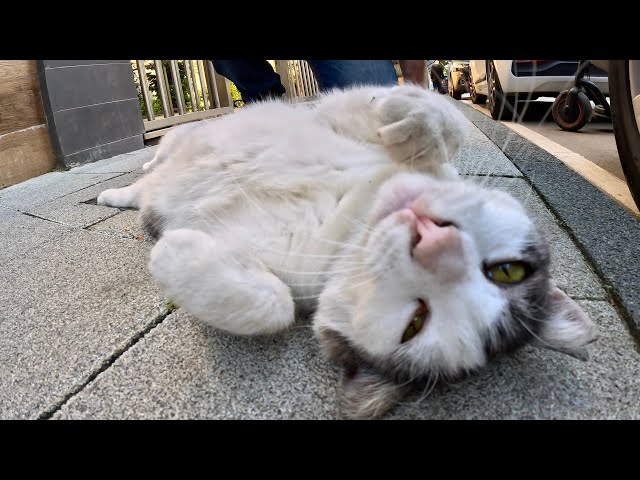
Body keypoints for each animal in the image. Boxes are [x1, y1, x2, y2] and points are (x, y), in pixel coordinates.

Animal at [97, 85, 596, 420]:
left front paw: (174, 247)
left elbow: (272, 306)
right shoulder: (340, 120)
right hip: (181, 140)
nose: (438, 243)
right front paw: (409, 112)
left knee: (152, 191)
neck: (353, 212)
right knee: (154, 166)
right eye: (508, 271)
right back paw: (116, 189)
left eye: (416, 322)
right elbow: (439, 122)